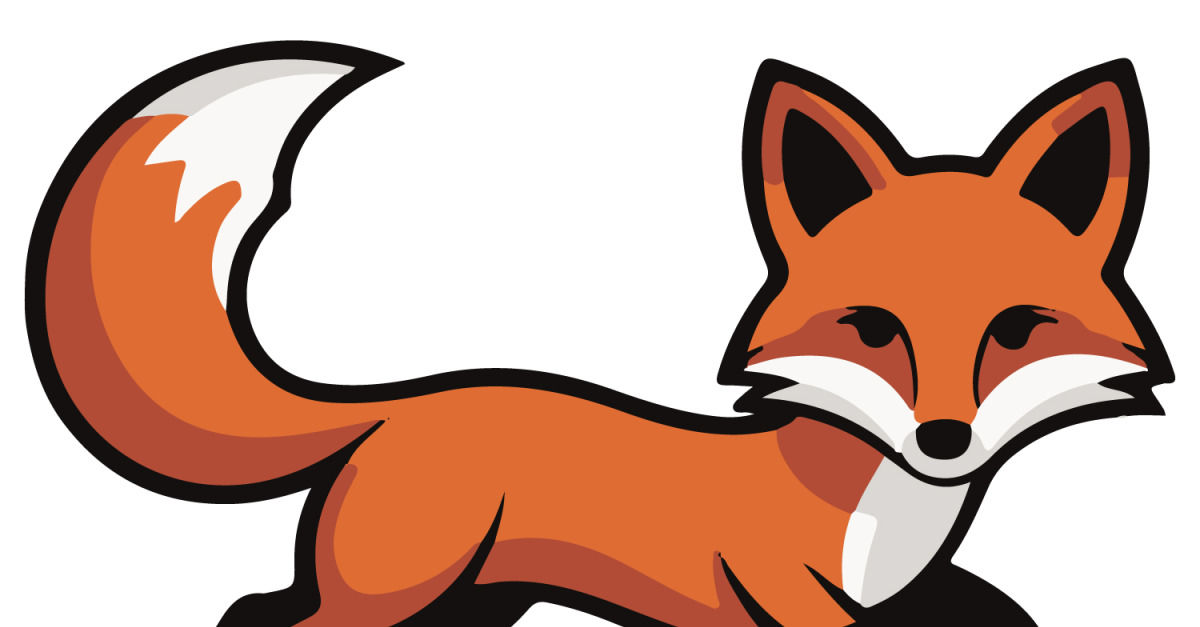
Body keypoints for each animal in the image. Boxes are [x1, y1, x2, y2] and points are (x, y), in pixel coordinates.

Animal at [27, 41, 1172, 627]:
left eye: (1016, 328)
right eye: (872, 328)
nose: (944, 439)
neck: (880, 518)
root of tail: (398, 407)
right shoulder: (786, 598)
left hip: (476, 603)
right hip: (396, 590)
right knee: (273, 616)